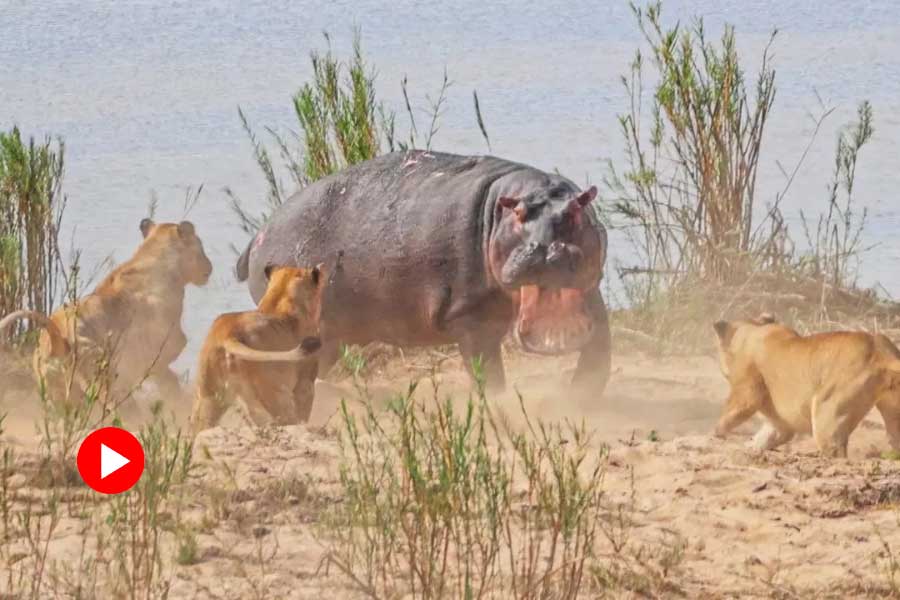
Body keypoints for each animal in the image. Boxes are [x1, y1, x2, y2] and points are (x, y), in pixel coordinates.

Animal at [236, 148, 608, 396]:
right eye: (517, 214)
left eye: (576, 210)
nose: (546, 247)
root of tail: (258, 234)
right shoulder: (471, 317)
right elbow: (486, 370)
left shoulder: (593, 293)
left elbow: (597, 353)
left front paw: (581, 397)